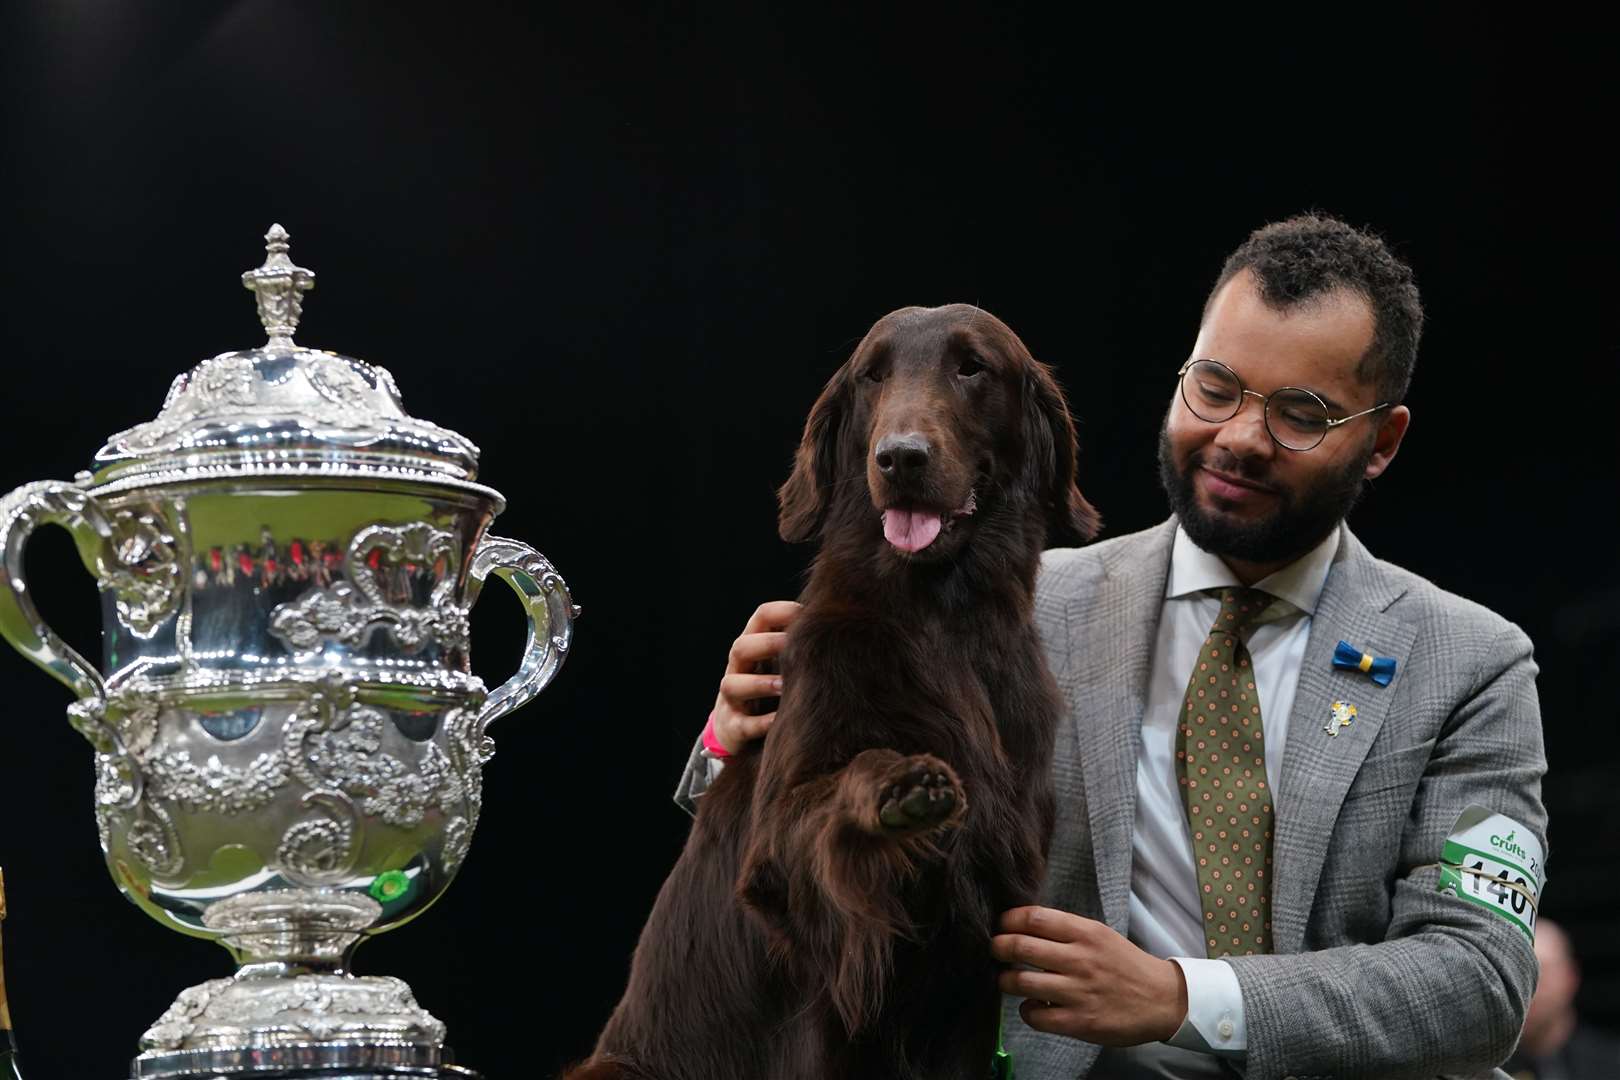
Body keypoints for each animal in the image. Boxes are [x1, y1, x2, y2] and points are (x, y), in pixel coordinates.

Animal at [560, 304, 1101, 1080]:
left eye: (973, 368)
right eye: (873, 375)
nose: (900, 458)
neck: (942, 619)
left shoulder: (983, 943)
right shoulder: (802, 907)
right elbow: (833, 798)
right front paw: (900, 790)